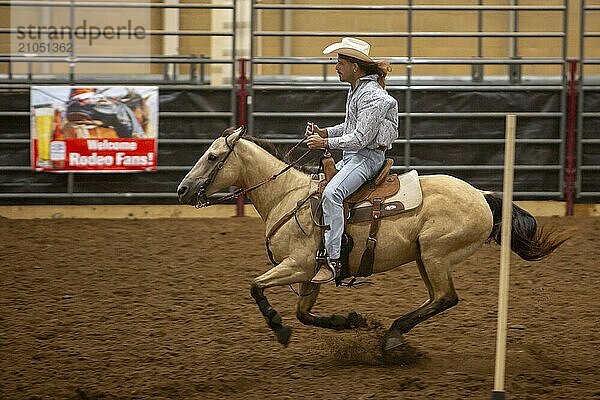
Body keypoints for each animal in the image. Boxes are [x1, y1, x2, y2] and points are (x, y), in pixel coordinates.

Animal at [176, 127, 564, 350]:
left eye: (212, 156)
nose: (182, 189)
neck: (286, 196)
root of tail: (482, 195)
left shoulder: (297, 265)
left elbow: (256, 287)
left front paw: (279, 329)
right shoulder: (311, 274)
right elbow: (304, 314)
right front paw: (352, 321)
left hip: (436, 254)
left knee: (446, 298)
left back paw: (392, 335)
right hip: (424, 257)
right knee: (438, 298)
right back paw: (392, 333)